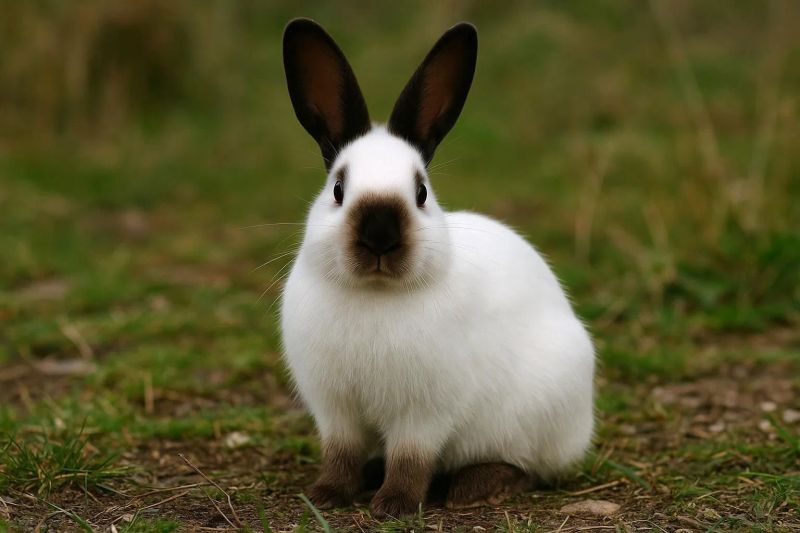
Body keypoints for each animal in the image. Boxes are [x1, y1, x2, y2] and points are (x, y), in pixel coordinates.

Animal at [280, 18, 595, 518]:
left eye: (421, 192)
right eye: (338, 189)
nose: (380, 236)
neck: (375, 294)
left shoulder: (424, 413)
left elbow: (412, 460)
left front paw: (395, 505)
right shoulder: (336, 410)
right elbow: (341, 455)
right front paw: (326, 495)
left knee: (528, 468)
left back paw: (477, 486)